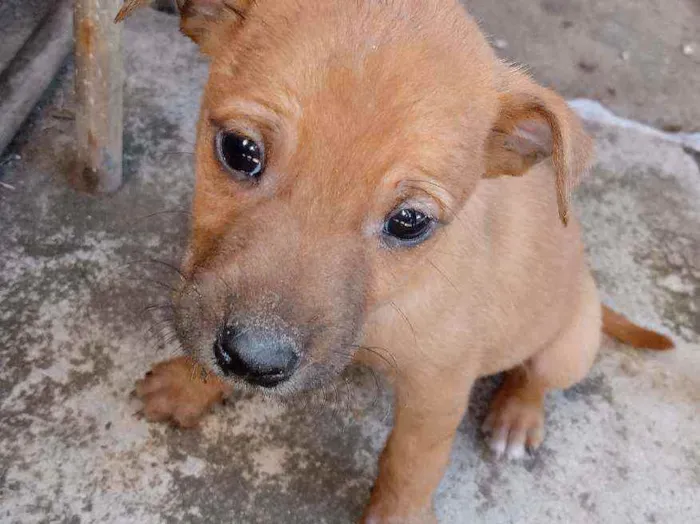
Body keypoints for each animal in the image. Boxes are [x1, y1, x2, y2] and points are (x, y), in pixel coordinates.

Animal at [119, 2, 672, 520]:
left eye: (409, 221)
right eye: (239, 150)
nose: (255, 361)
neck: (386, 305)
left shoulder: (437, 390)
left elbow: (412, 464)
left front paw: (397, 514)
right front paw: (187, 385)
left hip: (570, 345)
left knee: (535, 377)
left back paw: (517, 416)